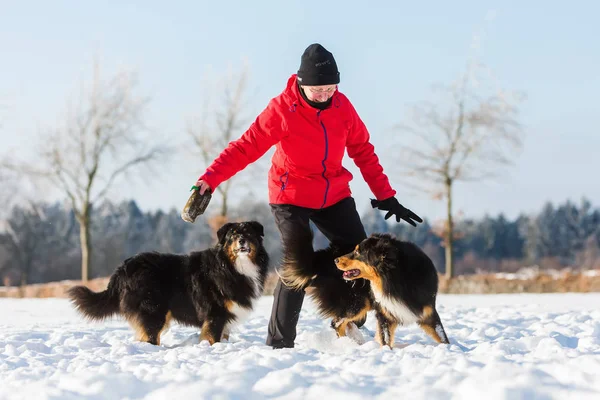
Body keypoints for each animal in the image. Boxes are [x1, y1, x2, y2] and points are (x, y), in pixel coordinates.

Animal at [67, 220, 270, 346]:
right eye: (232, 235)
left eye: (249, 233)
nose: (241, 241)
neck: (231, 266)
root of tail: (123, 268)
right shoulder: (216, 314)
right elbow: (212, 338)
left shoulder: (225, 317)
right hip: (153, 311)